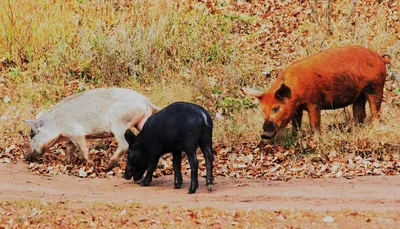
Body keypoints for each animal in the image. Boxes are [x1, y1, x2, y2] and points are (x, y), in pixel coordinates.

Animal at [23, 87, 160, 170]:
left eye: (32, 136)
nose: (25, 157)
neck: (57, 125)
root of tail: (145, 100)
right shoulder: (70, 137)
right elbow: (69, 148)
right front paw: (65, 163)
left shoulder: (76, 133)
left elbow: (82, 148)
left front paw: (90, 164)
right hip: (141, 121)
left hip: (119, 123)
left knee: (124, 145)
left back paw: (107, 167)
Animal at [242, 45, 390, 139]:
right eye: (263, 110)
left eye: (276, 108)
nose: (264, 135)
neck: (296, 91)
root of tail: (381, 58)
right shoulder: (297, 108)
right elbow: (296, 125)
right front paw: (295, 137)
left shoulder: (314, 102)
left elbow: (314, 123)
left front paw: (316, 139)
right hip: (359, 96)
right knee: (360, 114)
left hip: (376, 88)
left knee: (375, 113)